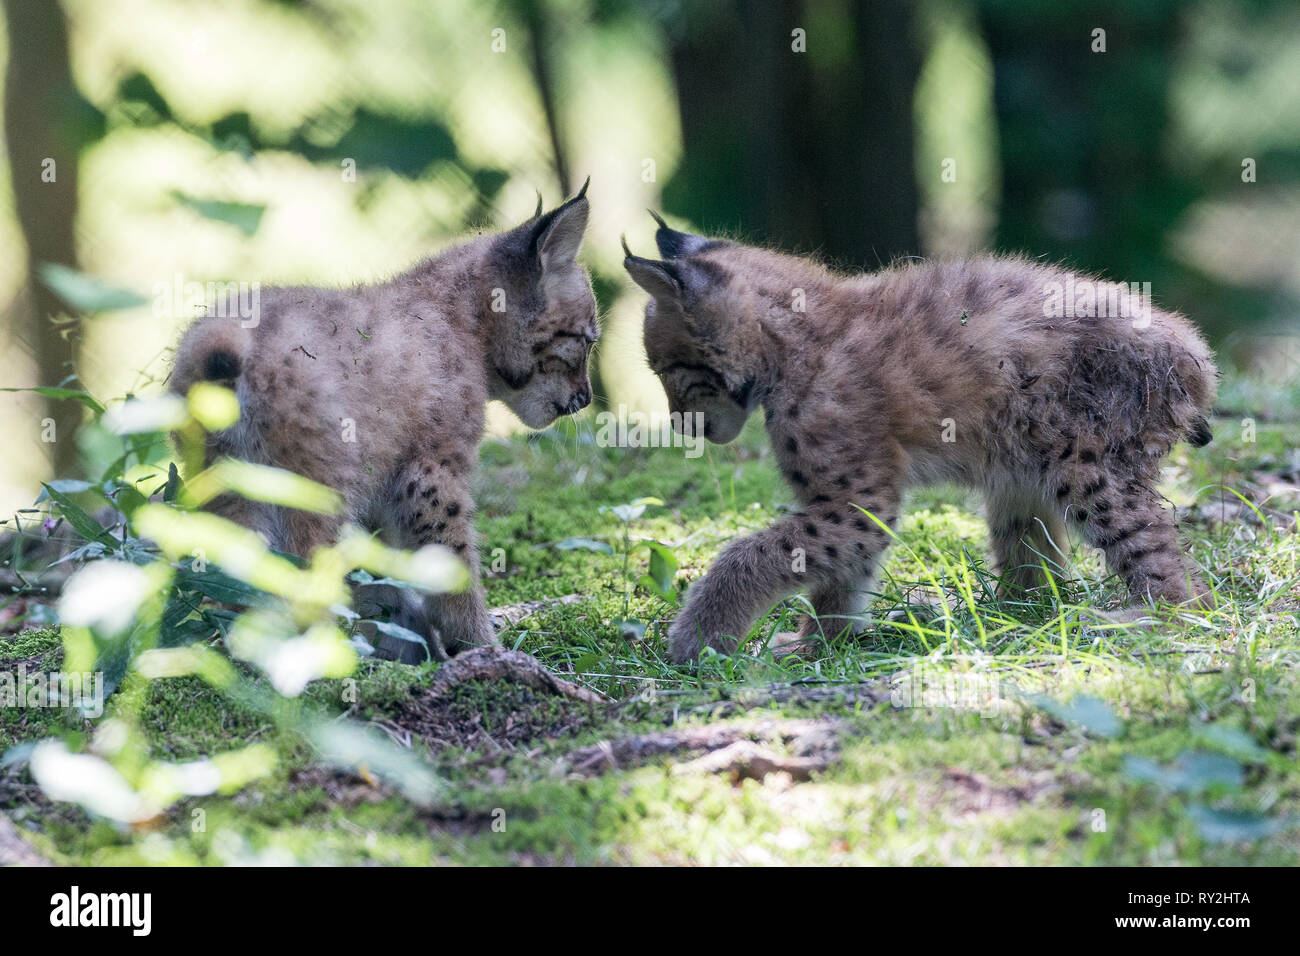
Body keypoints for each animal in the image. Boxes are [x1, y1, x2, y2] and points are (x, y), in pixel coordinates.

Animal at [170, 188, 595, 665]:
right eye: (585, 341)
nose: (586, 398)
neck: (464, 319)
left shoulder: (385, 481)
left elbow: (384, 575)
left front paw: (413, 645)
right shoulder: (431, 469)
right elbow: (451, 561)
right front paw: (481, 647)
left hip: (228, 482)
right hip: (317, 482)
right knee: (303, 568)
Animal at [624, 219, 1211, 660]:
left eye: (667, 370)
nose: (680, 425)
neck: (792, 346)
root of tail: (1191, 346)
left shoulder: (857, 499)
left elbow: (753, 552)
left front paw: (700, 636)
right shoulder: (853, 503)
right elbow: (839, 573)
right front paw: (820, 643)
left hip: (1084, 465)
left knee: (1171, 568)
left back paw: (1146, 617)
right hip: (1022, 465)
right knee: (1035, 554)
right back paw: (1014, 616)